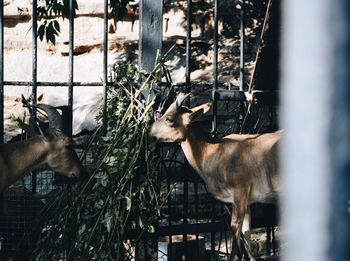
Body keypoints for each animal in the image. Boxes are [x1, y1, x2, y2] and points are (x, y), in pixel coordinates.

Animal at [148, 92, 282, 256]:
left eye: (169, 119)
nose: (148, 131)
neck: (213, 152)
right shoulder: (248, 201)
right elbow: (246, 234)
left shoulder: (239, 192)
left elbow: (235, 229)